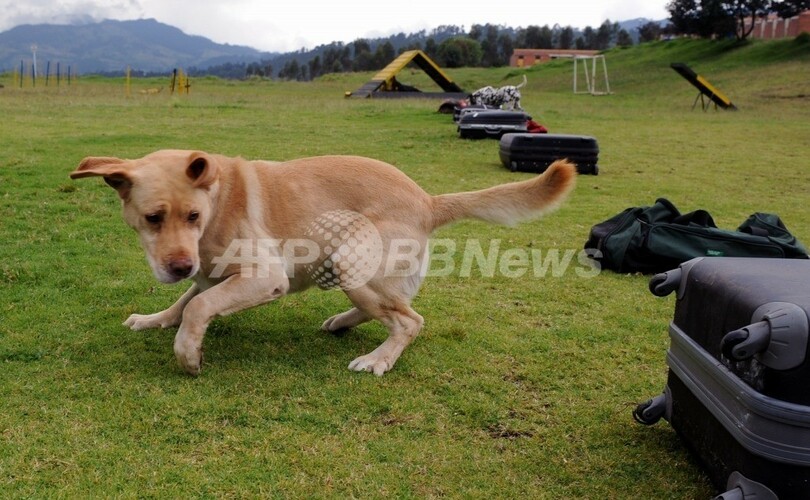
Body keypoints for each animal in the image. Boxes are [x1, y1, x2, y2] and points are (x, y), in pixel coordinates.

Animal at [71, 150, 576, 376]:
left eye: (192, 216)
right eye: (152, 218)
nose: (177, 266)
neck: (217, 203)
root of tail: (427, 200)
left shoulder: (263, 276)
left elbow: (196, 307)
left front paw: (188, 354)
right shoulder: (209, 273)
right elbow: (185, 302)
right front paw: (154, 319)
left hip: (357, 269)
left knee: (410, 320)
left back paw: (378, 359)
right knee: (395, 309)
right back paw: (342, 323)